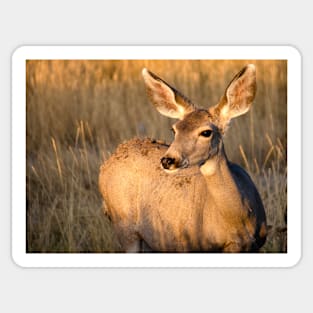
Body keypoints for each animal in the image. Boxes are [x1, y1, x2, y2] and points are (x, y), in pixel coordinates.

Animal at [98, 64, 266, 252]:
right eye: (174, 130)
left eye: (206, 132)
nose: (168, 160)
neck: (238, 218)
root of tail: (110, 159)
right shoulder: (193, 244)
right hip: (125, 228)